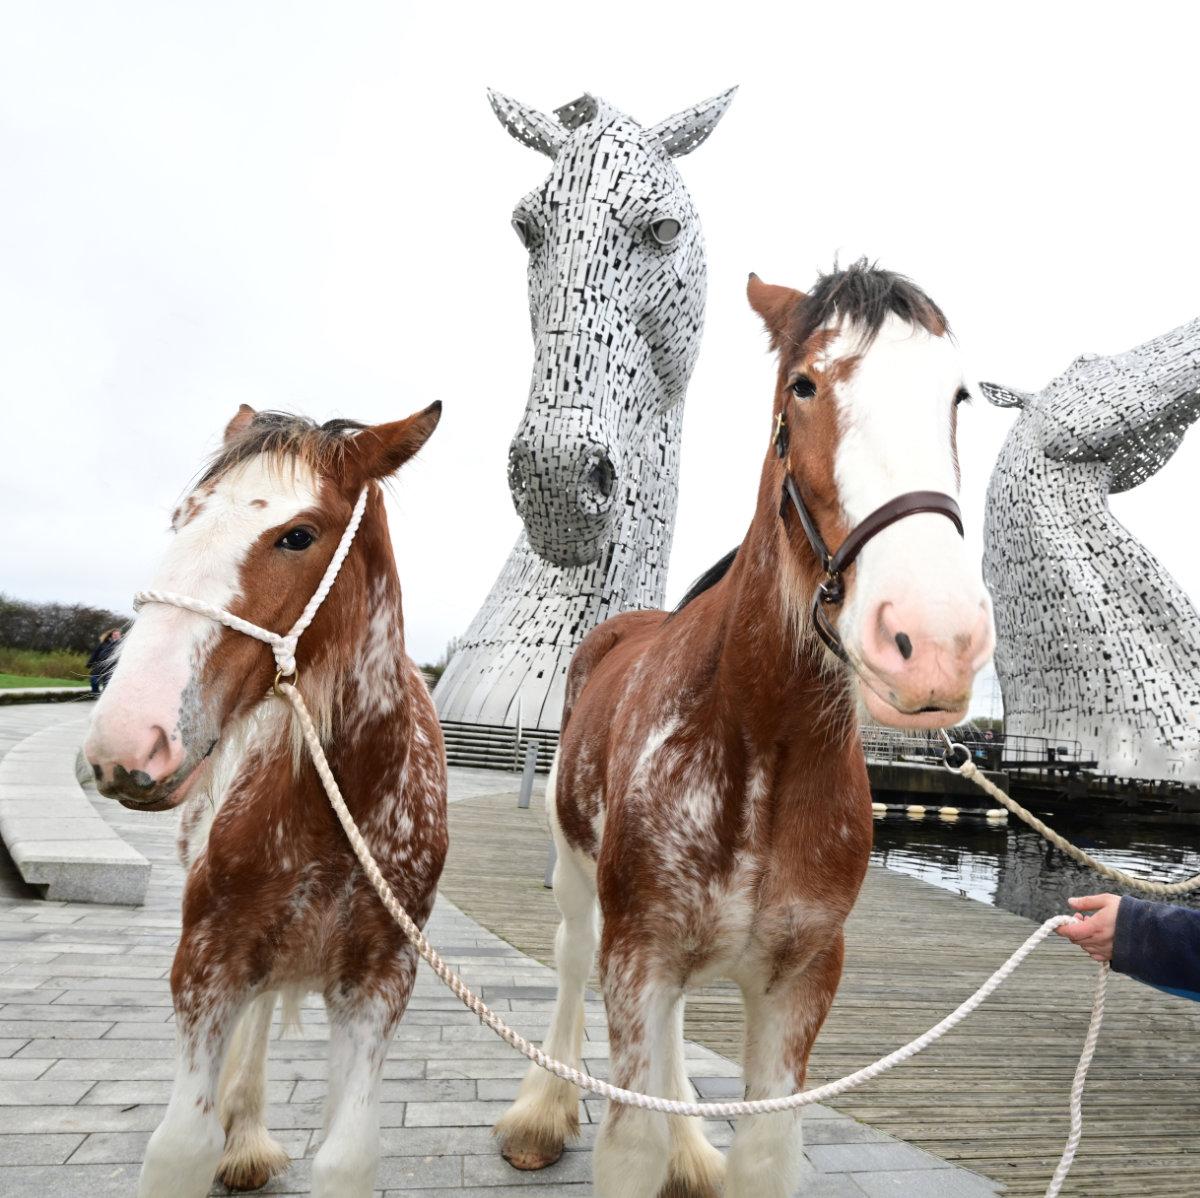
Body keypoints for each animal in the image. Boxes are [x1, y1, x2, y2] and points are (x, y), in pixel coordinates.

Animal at [84, 405, 448, 1198]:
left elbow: (348, 1155)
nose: (127, 737)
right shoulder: (207, 961)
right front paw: (219, 1139)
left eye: (298, 535)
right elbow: (179, 1146)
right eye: (182, 518)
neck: (341, 804)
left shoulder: (379, 980)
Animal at [494, 265, 993, 1198]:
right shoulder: (638, 951)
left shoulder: (802, 976)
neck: (761, 740)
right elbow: (629, 1141)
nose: (934, 638)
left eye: (956, 396)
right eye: (803, 386)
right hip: (579, 882)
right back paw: (541, 1113)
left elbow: (764, 1150)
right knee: (570, 960)